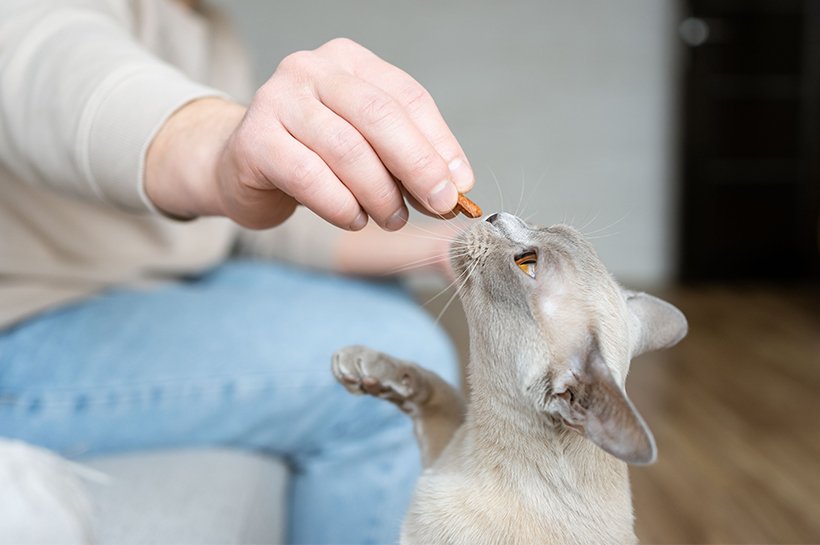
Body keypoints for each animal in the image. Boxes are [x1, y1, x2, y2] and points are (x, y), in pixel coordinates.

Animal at [332, 212, 684, 544]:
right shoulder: (443, 446)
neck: (471, 444)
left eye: (528, 266)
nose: (494, 217)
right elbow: (435, 386)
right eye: (548, 228)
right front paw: (362, 364)